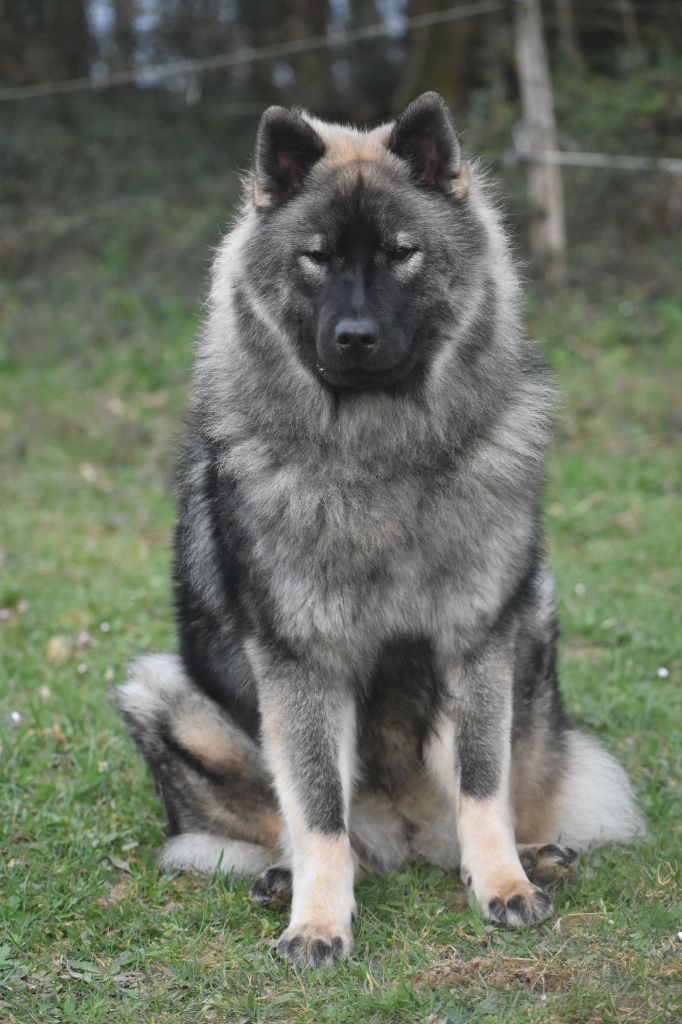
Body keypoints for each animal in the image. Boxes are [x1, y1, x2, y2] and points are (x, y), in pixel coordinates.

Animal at [116, 94, 643, 966]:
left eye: (402, 254)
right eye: (316, 258)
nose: (355, 337)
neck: (379, 455)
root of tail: (406, 837)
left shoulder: (477, 642)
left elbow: (483, 786)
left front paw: (503, 882)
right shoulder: (303, 664)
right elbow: (317, 811)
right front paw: (318, 921)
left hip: (532, 616)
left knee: (495, 804)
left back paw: (534, 856)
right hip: (159, 691)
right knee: (307, 833)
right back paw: (285, 880)